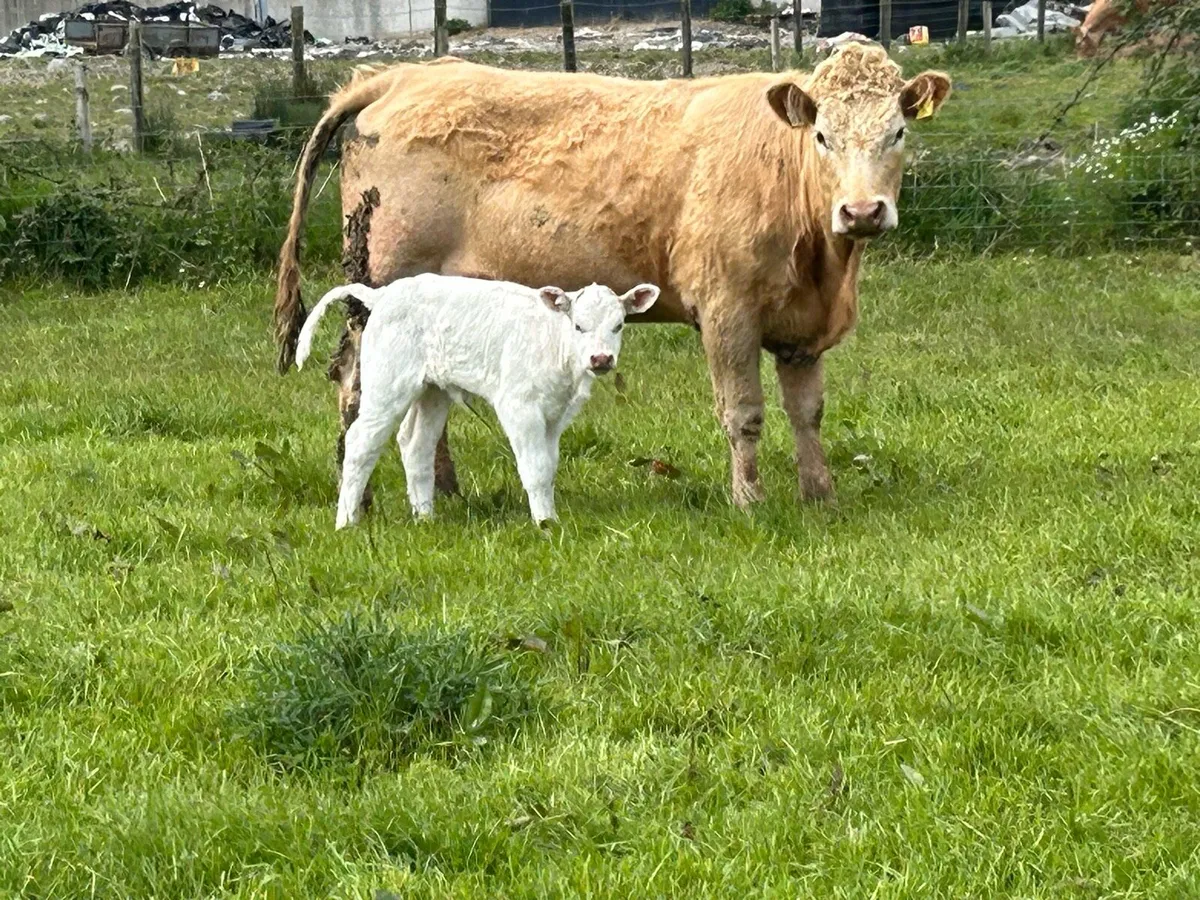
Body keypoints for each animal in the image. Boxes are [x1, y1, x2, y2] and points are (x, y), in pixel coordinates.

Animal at [295, 276, 660, 526]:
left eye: (619, 325)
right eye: (578, 325)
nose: (601, 359)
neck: (556, 345)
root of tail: (383, 293)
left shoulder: (557, 415)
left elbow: (549, 465)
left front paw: (549, 516)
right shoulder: (519, 405)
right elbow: (535, 467)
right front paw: (545, 524)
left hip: (433, 389)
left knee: (416, 444)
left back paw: (425, 518)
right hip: (388, 381)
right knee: (360, 442)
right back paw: (346, 522)